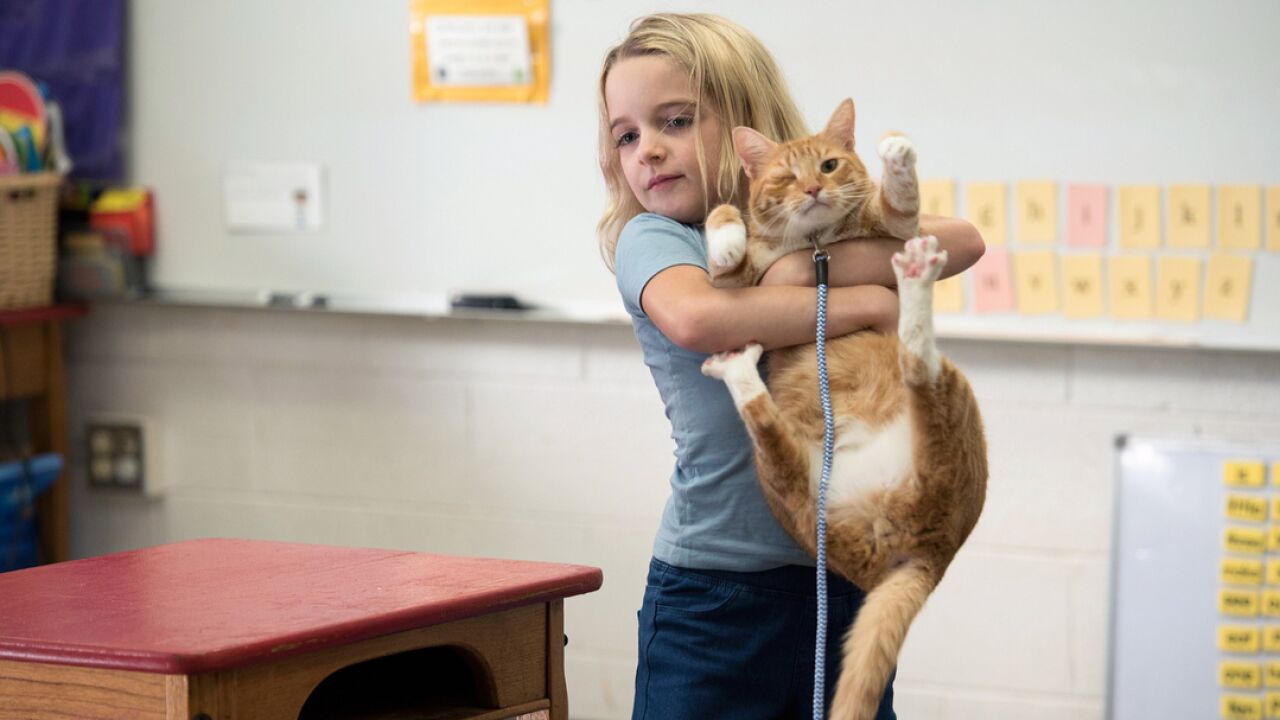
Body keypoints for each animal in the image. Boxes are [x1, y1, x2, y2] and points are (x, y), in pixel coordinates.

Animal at [701, 98, 988, 712]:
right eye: (786, 176)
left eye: (830, 165)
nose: (813, 188)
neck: (813, 248)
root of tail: (935, 550)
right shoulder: (732, 292)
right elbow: (723, 219)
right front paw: (729, 236)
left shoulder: (895, 226)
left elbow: (900, 202)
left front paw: (896, 157)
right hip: (791, 488)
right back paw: (738, 365)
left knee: (917, 358)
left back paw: (915, 274)